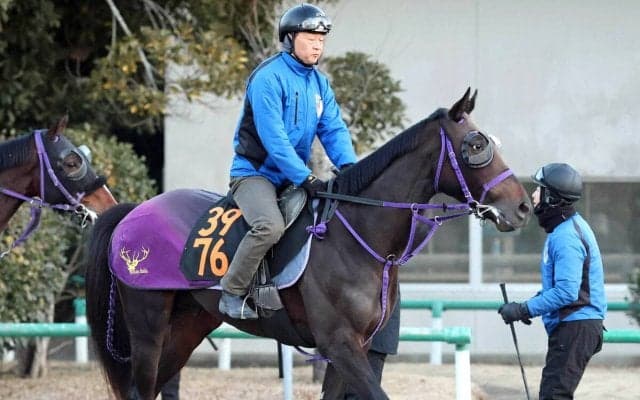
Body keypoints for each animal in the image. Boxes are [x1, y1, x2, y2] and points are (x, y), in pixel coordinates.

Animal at [85, 88, 532, 400]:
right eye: (476, 145)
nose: (524, 206)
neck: (354, 237)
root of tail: (133, 212)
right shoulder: (340, 344)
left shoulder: (350, 348)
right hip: (147, 326)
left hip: (188, 326)